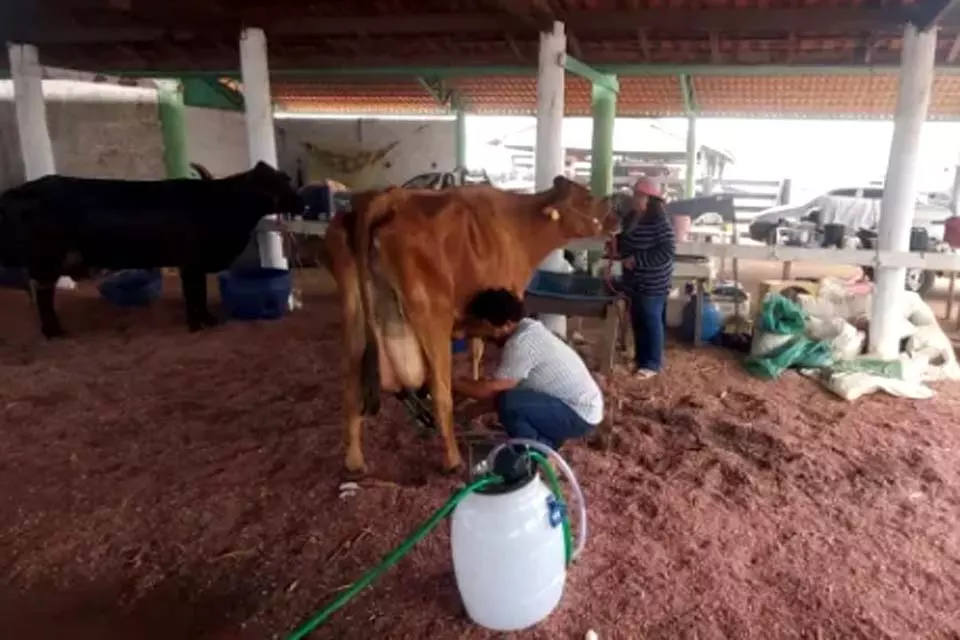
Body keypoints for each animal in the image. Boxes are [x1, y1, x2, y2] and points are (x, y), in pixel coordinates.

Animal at [0, 162, 304, 338]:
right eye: (276, 183)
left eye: (286, 178)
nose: (302, 203)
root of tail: (22, 189)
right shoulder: (191, 263)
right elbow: (194, 295)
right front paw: (197, 324)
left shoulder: (195, 264)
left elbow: (200, 294)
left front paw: (206, 320)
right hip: (46, 261)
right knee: (44, 296)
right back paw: (54, 331)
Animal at [330, 175, 616, 476]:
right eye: (587, 197)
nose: (616, 213)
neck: (520, 226)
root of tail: (387, 198)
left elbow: (476, 353)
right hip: (432, 316)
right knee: (440, 390)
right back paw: (452, 459)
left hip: (354, 315)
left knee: (351, 387)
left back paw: (355, 461)